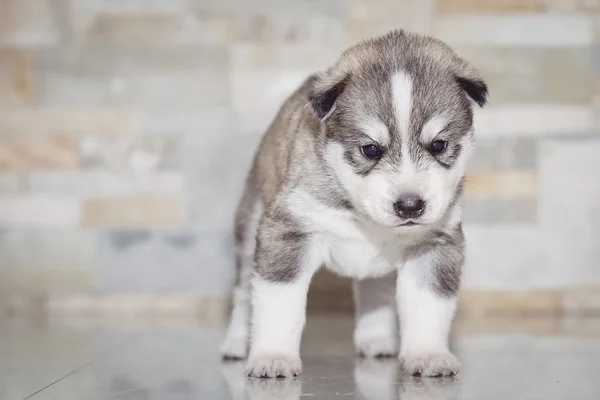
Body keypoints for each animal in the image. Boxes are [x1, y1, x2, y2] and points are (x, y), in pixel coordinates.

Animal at [220, 30, 488, 378]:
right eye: (370, 149)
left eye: (439, 145)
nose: (410, 205)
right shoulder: (288, 233)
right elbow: (279, 303)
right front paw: (273, 356)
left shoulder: (433, 246)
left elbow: (428, 306)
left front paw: (428, 354)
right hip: (250, 226)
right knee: (242, 293)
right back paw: (236, 343)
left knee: (374, 291)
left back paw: (376, 339)